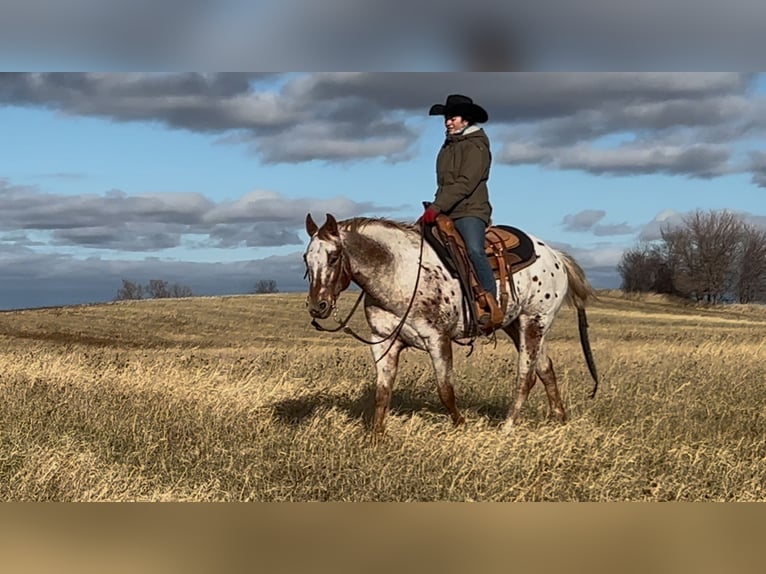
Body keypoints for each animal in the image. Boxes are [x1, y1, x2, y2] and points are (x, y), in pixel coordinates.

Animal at [304, 213, 600, 436]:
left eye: (333, 257)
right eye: (306, 259)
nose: (318, 306)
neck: (400, 273)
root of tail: (555, 256)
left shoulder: (437, 339)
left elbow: (445, 390)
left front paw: (461, 425)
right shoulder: (383, 341)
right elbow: (382, 391)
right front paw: (377, 436)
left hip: (534, 321)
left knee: (526, 375)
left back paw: (507, 426)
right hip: (517, 325)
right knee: (545, 369)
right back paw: (559, 419)